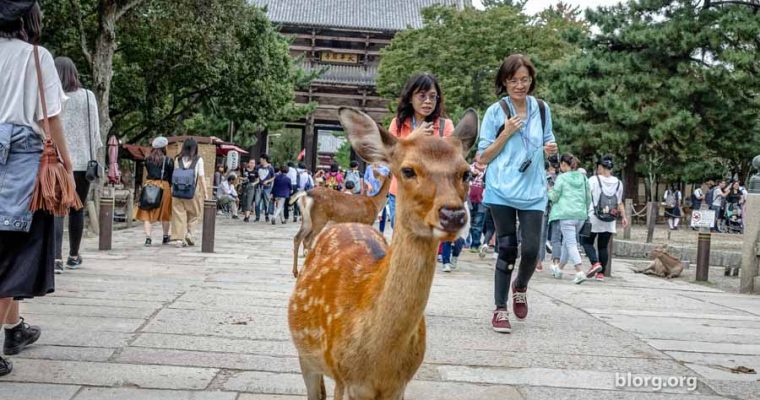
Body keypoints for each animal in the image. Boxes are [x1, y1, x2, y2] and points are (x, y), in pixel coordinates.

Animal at [288, 107, 478, 400]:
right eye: (408, 170)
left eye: (466, 173)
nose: (453, 215)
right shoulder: (347, 380)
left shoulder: (398, 386)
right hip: (306, 356)